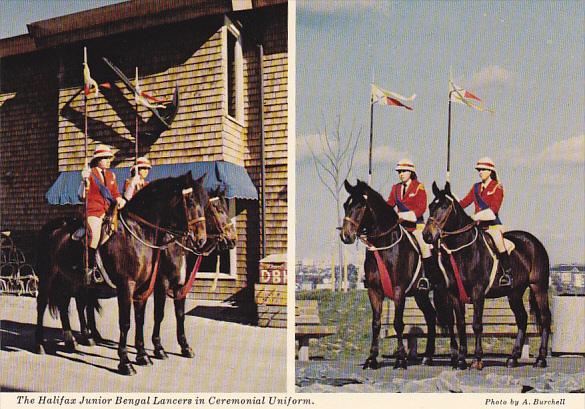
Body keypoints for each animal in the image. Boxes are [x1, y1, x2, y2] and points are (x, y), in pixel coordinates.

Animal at [34, 171, 208, 374]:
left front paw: (143, 355)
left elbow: (142, 319)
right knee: (42, 304)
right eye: (190, 201)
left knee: (65, 304)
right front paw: (126, 361)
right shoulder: (130, 286)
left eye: (205, 203)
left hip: (70, 279)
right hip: (48, 277)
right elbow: (127, 322)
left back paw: (73, 341)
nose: (201, 239)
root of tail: (52, 226)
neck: (138, 233)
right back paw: (40, 344)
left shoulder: (146, 287)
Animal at [340, 180, 440, 368]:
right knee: (431, 316)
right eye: (345, 205)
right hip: (420, 294)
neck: (384, 246)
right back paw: (428, 356)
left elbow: (398, 323)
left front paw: (400, 358)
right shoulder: (374, 291)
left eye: (360, 205)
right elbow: (376, 323)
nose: (346, 236)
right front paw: (372, 358)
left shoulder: (398, 290)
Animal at [422, 180, 548, 368]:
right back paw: (513, 358)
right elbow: (461, 324)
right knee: (522, 319)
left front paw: (477, 359)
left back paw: (541, 359)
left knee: (545, 318)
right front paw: (461, 359)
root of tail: (534, 242)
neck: (464, 250)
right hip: (514, 292)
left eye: (444, 206)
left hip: (538, 287)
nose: (427, 235)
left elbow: (476, 324)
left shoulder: (478, 292)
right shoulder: (455, 294)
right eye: (431, 206)